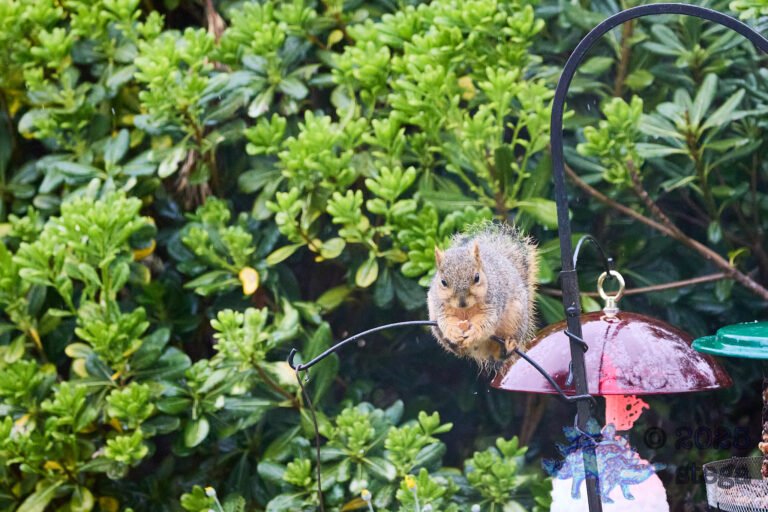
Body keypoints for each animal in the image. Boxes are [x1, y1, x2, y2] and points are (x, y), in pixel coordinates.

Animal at [427, 223, 539, 370]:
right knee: (459, 350)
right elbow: (446, 321)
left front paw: (473, 332)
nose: (462, 302)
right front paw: (453, 332)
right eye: (443, 282)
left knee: (501, 353)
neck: (466, 310)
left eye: (477, 278)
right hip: (434, 322)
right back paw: (453, 344)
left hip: (516, 319)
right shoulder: (440, 306)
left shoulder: (493, 303)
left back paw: (507, 348)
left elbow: (486, 321)